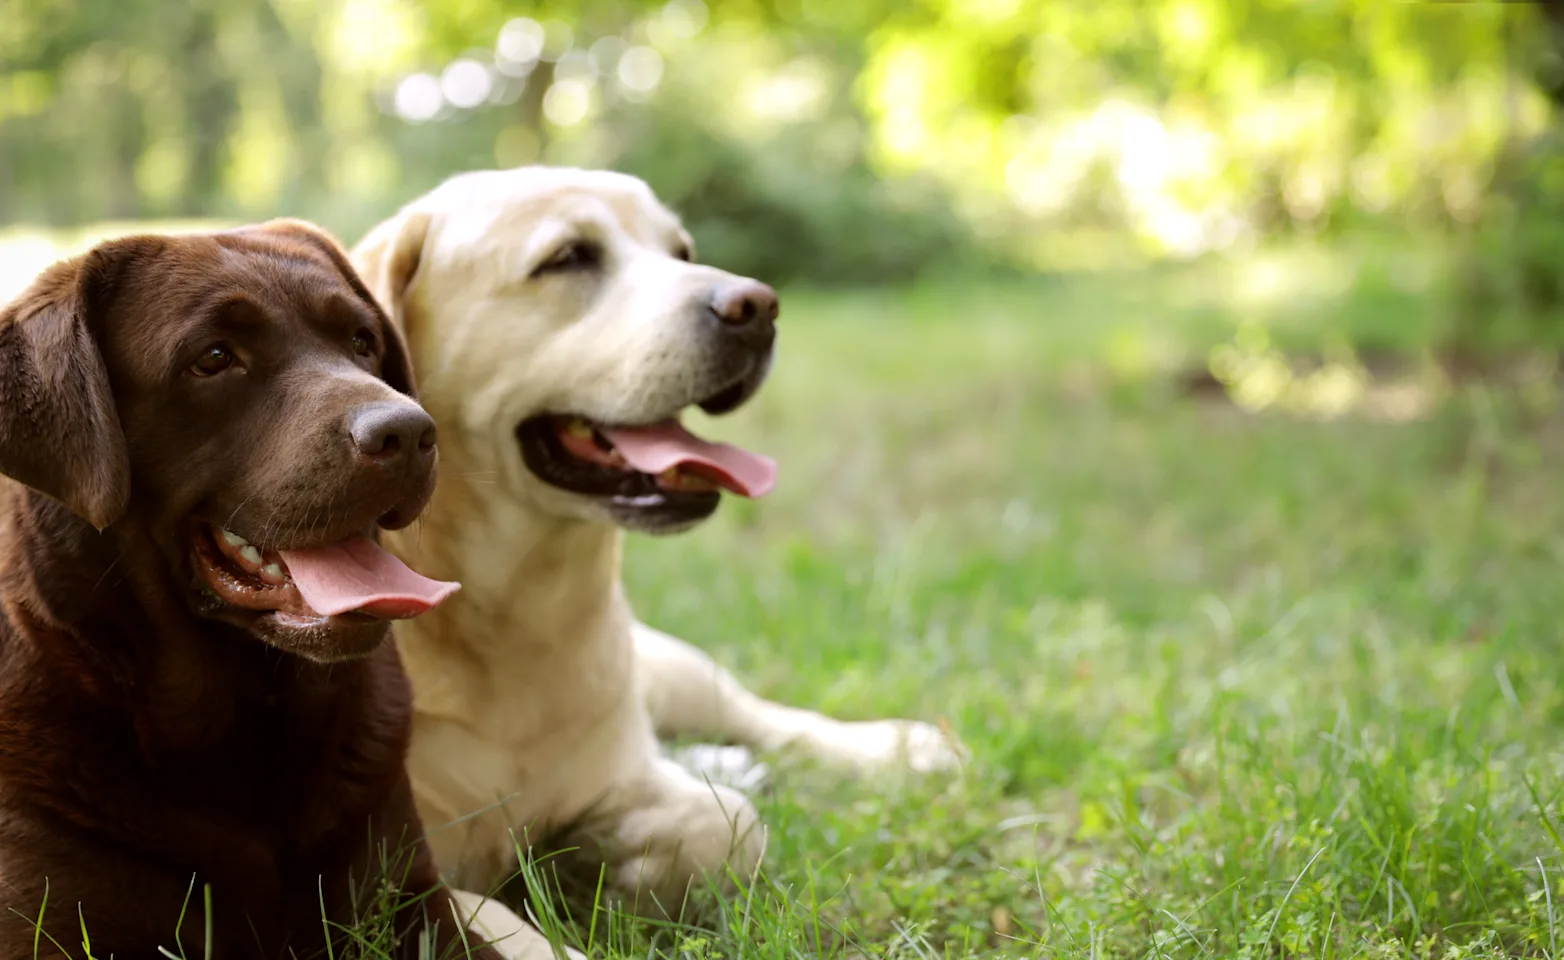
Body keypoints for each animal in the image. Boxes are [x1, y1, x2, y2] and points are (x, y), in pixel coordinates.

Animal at [355, 169, 963, 956]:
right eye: (568, 257)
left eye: (682, 251)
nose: (756, 307)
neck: (508, 610)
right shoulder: (384, 892)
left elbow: (731, 827)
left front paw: (611, 858)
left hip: (670, 665)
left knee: (760, 718)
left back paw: (893, 748)